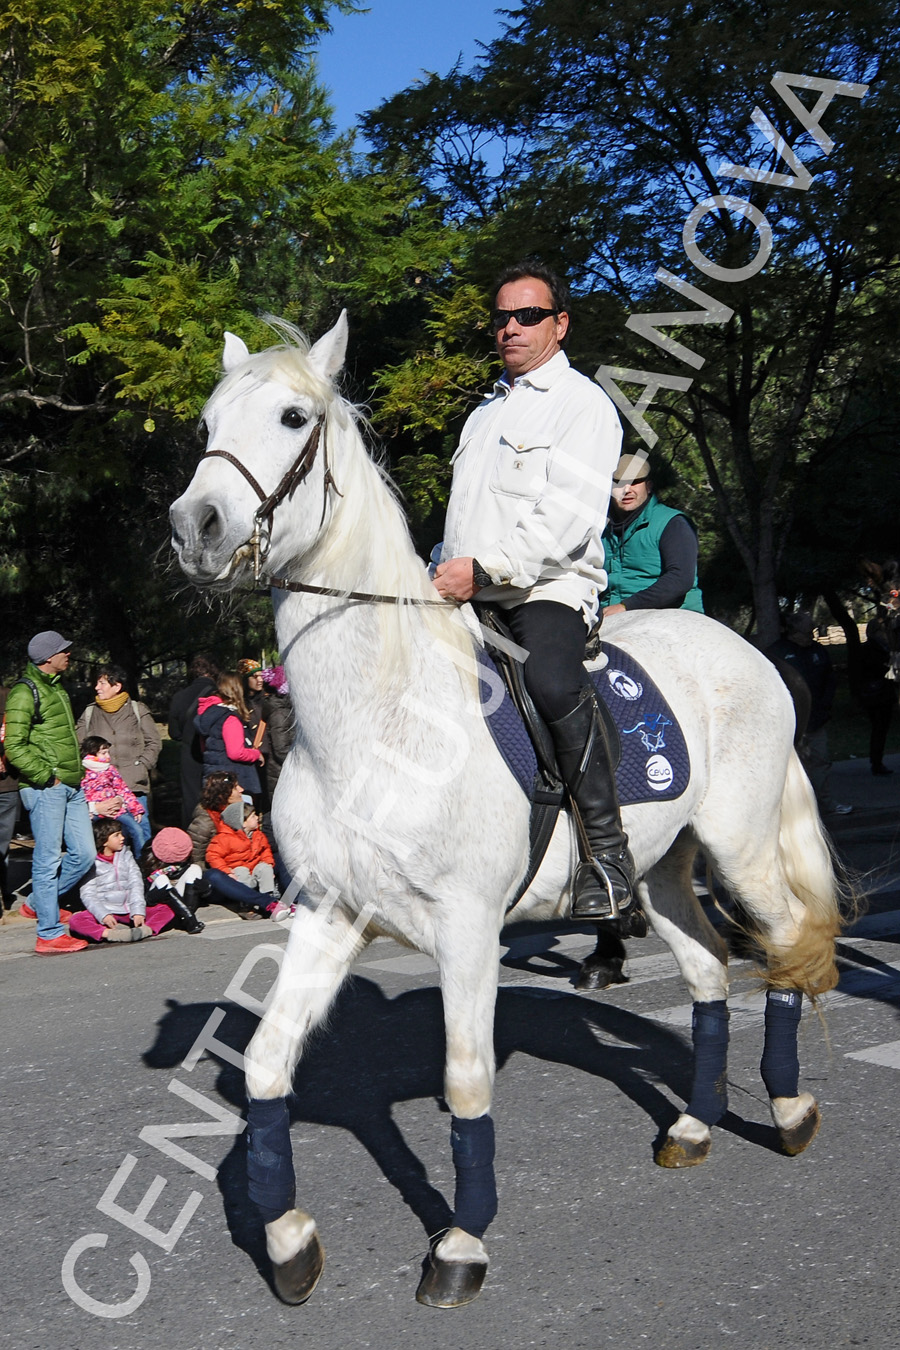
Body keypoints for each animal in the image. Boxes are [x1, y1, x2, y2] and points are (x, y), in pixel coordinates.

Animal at [170, 313, 847, 1306]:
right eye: (208, 421)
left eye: (294, 417)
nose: (196, 527)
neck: (378, 723)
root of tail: (745, 646)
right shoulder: (331, 913)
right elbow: (264, 1066)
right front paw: (289, 1243)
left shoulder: (467, 928)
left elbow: (466, 1085)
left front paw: (461, 1244)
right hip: (662, 871)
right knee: (711, 972)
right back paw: (693, 1127)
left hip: (744, 844)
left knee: (787, 946)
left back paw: (791, 1111)